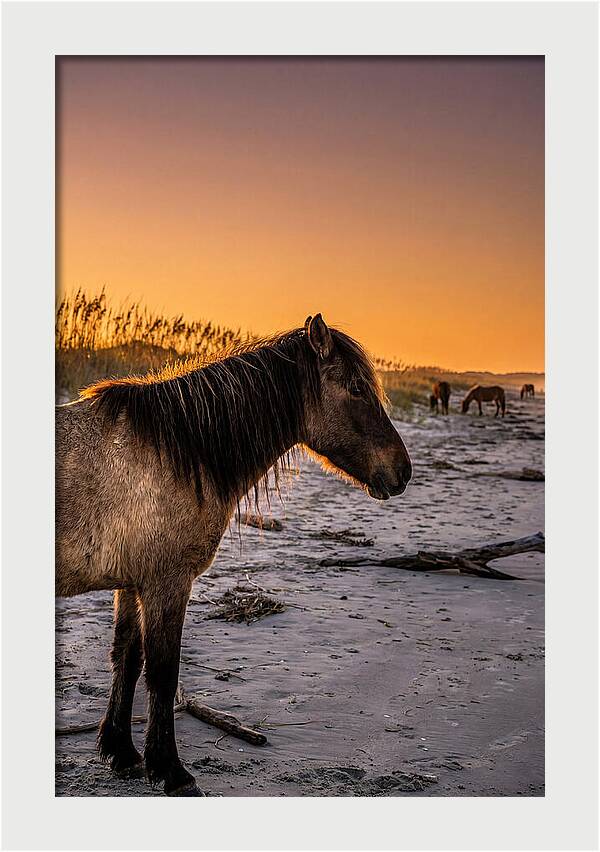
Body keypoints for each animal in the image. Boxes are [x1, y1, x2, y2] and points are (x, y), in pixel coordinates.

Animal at [56, 314, 412, 797]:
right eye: (357, 389)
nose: (403, 471)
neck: (177, 452)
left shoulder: (132, 584)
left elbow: (127, 660)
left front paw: (122, 753)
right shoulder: (167, 584)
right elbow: (163, 673)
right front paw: (170, 770)